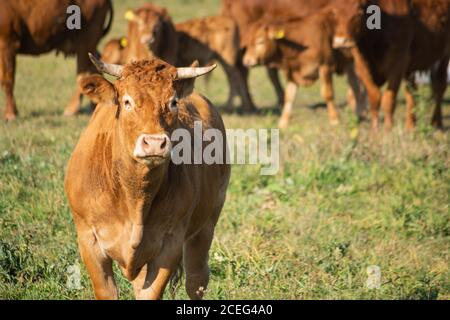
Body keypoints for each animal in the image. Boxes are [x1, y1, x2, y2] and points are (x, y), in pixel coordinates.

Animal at [65, 55, 230, 300]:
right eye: (127, 102)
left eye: (172, 102)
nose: (154, 143)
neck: (134, 197)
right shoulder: (88, 240)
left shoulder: (170, 244)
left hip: (206, 224)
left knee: (196, 278)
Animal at [332, 0, 448, 130]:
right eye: (334, 12)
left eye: (358, 13)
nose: (341, 42)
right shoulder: (361, 65)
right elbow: (374, 96)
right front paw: (375, 128)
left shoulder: (397, 65)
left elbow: (388, 99)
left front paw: (388, 128)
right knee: (411, 91)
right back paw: (410, 125)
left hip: (444, 55)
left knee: (439, 86)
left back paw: (436, 122)